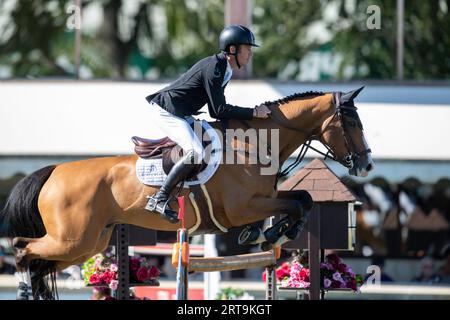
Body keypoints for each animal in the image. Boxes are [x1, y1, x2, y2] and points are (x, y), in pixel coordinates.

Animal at [0, 87, 372, 298]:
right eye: (353, 123)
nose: (366, 164)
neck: (255, 145)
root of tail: (54, 171)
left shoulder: (259, 203)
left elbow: (300, 201)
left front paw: (268, 233)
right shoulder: (242, 207)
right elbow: (299, 201)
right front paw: (275, 231)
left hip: (86, 244)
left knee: (39, 265)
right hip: (72, 240)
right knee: (21, 248)